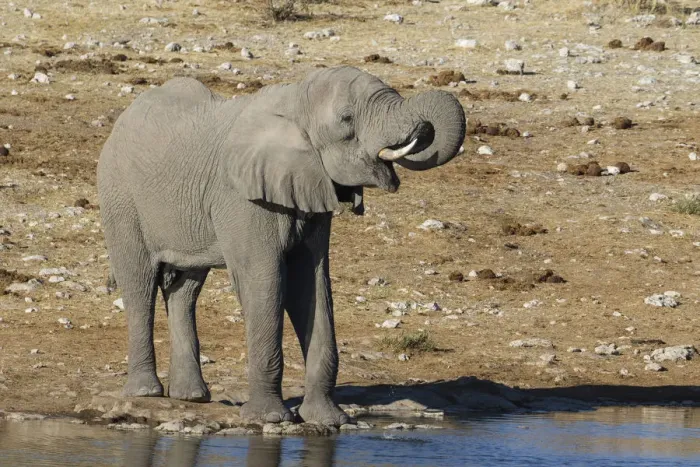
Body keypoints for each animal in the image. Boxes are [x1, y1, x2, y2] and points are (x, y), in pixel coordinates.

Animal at [97, 65, 465, 426]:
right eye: (346, 119)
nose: (420, 131)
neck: (296, 100)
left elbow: (312, 285)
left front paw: (329, 421)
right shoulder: (242, 197)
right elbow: (266, 281)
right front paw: (269, 419)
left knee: (186, 289)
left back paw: (192, 397)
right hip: (120, 196)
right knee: (140, 283)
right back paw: (146, 392)